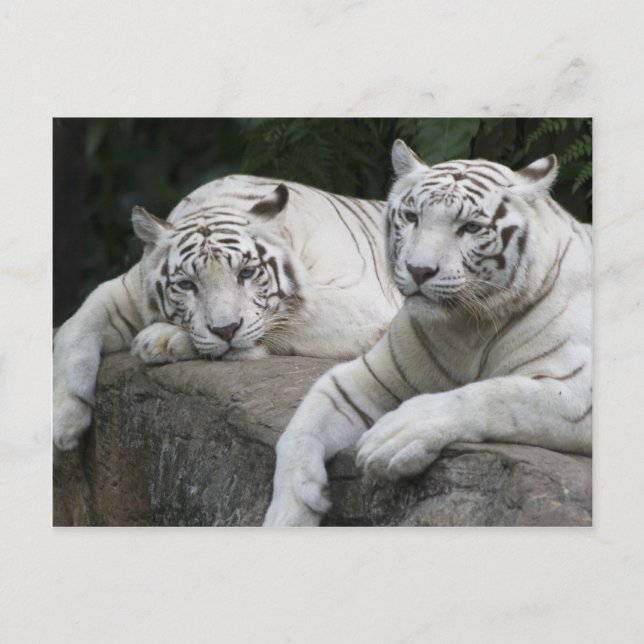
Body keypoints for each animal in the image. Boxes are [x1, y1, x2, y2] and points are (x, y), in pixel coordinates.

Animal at [53, 175, 402, 451]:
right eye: (187, 284)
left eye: (246, 273)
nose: (226, 329)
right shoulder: (127, 288)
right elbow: (75, 325)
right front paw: (63, 422)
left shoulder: (361, 304)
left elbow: (284, 317)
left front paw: (160, 340)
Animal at [264, 139, 592, 527]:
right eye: (412, 218)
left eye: (470, 227)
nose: (419, 270)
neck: (468, 327)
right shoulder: (368, 374)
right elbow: (300, 427)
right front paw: (288, 512)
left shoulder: (578, 391)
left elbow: (495, 394)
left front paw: (394, 437)